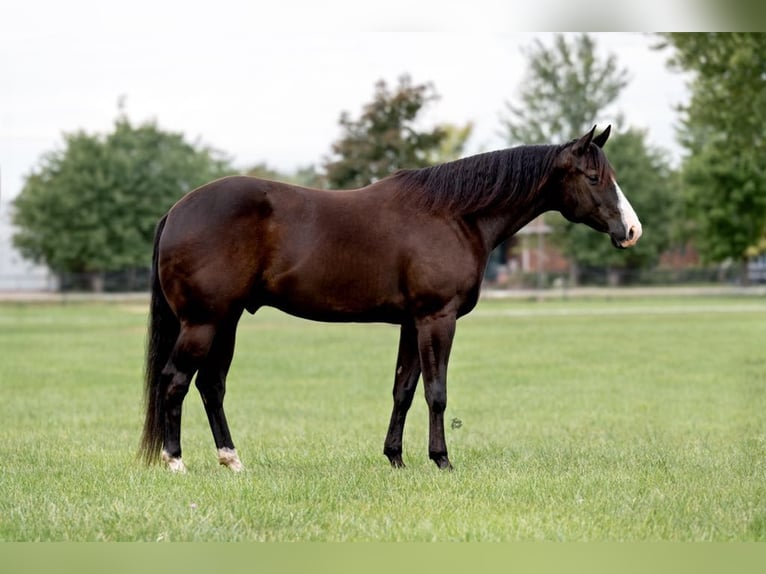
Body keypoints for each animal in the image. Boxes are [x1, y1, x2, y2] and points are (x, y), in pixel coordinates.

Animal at [138, 125, 640, 472]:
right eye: (594, 176)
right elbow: (436, 393)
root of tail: (177, 210)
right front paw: (442, 460)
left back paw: (233, 461)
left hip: (226, 320)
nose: (631, 230)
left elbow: (404, 389)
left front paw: (395, 458)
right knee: (175, 380)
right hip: (204, 322)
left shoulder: (412, 322)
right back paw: (176, 462)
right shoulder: (438, 318)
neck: (454, 215)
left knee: (211, 385)